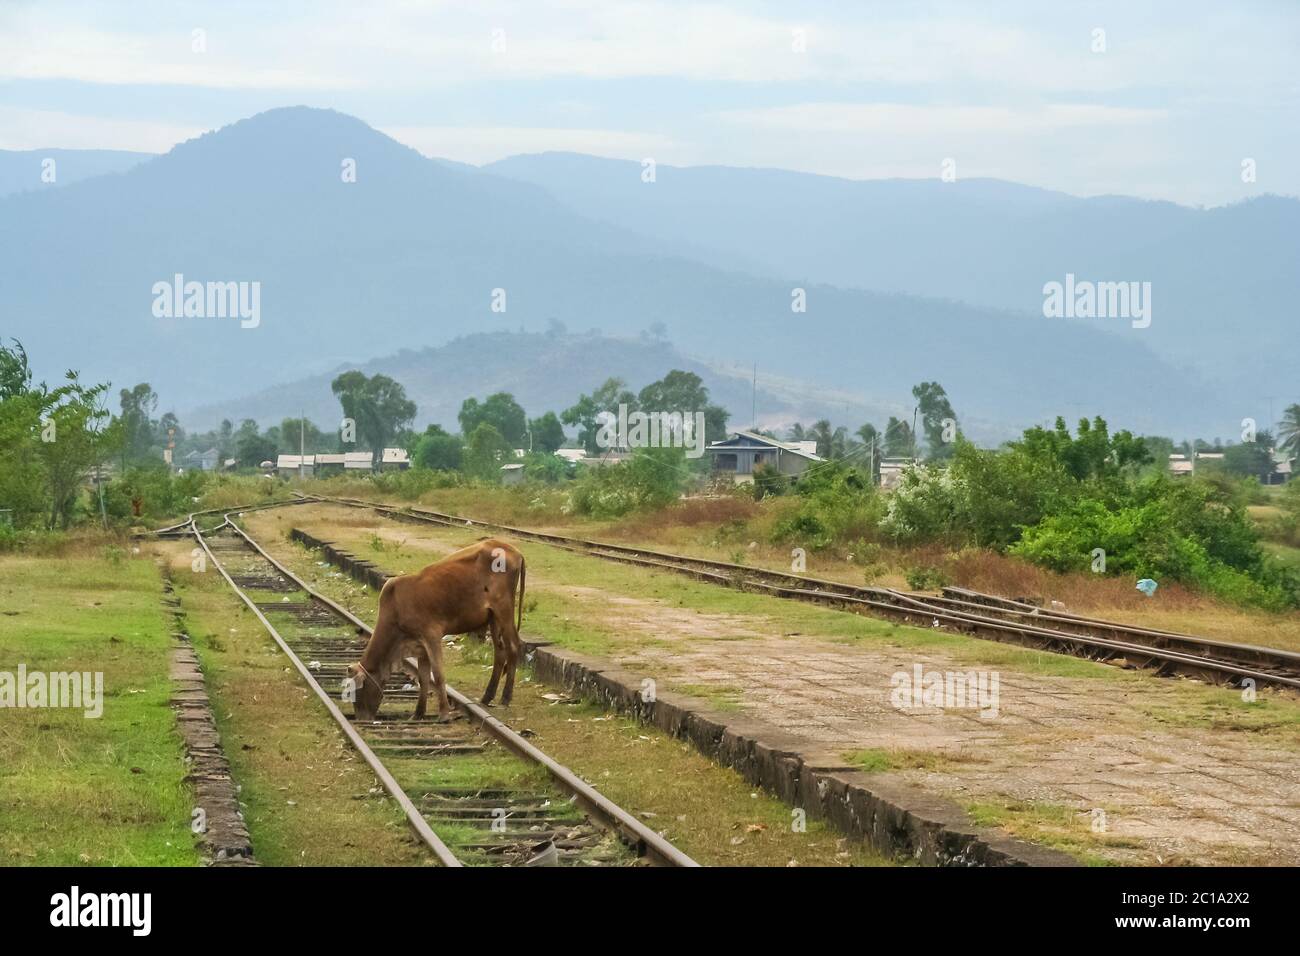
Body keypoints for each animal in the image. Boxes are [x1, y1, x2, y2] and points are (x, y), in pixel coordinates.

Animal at [351, 541, 527, 723]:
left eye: (357, 691)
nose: (361, 718)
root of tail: (512, 550)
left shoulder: (432, 636)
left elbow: (438, 674)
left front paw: (444, 713)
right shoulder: (420, 646)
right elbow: (423, 678)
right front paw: (418, 713)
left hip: (503, 610)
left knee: (513, 647)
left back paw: (505, 698)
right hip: (493, 618)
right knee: (500, 652)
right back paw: (487, 696)